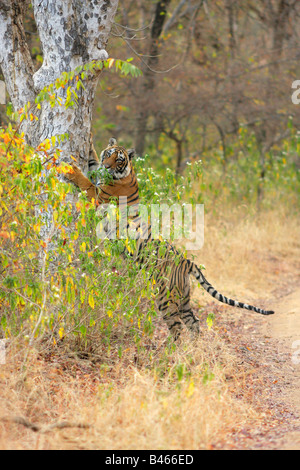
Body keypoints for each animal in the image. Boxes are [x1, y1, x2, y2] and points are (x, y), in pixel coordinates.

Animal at [66, 138, 274, 340]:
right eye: (109, 154)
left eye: (119, 160)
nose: (107, 166)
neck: (125, 173)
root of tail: (187, 261)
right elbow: (92, 163)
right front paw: (91, 145)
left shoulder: (99, 200)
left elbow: (85, 183)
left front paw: (71, 169)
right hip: (183, 296)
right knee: (194, 323)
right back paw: (192, 348)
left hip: (165, 297)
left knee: (177, 329)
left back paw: (170, 349)